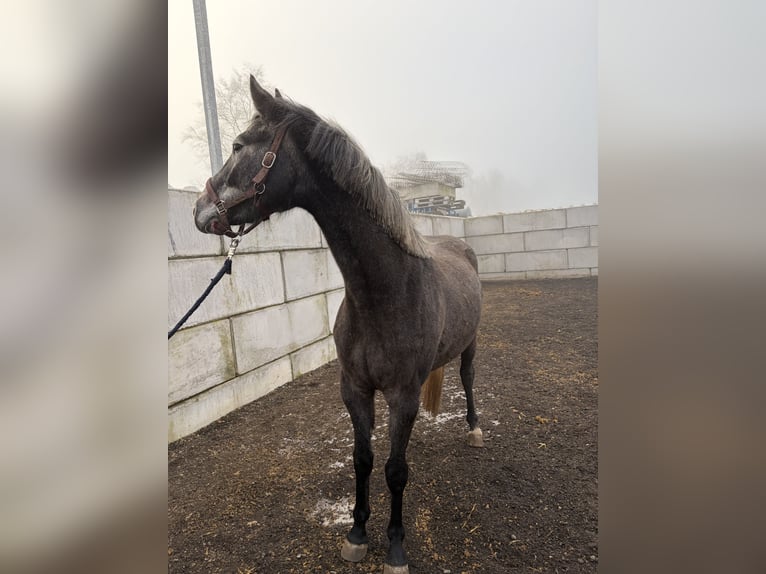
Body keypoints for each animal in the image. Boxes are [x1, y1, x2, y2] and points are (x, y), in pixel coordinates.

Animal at [193, 75, 483, 574]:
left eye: (237, 145)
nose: (198, 209)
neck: (383, 294)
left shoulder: (403, 394)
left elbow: (395, 471)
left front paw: (396, 548)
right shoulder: (355, 388)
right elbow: (363, 459)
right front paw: (357, 533)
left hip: (471, 344)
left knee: (466, 378)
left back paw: (474, 427)